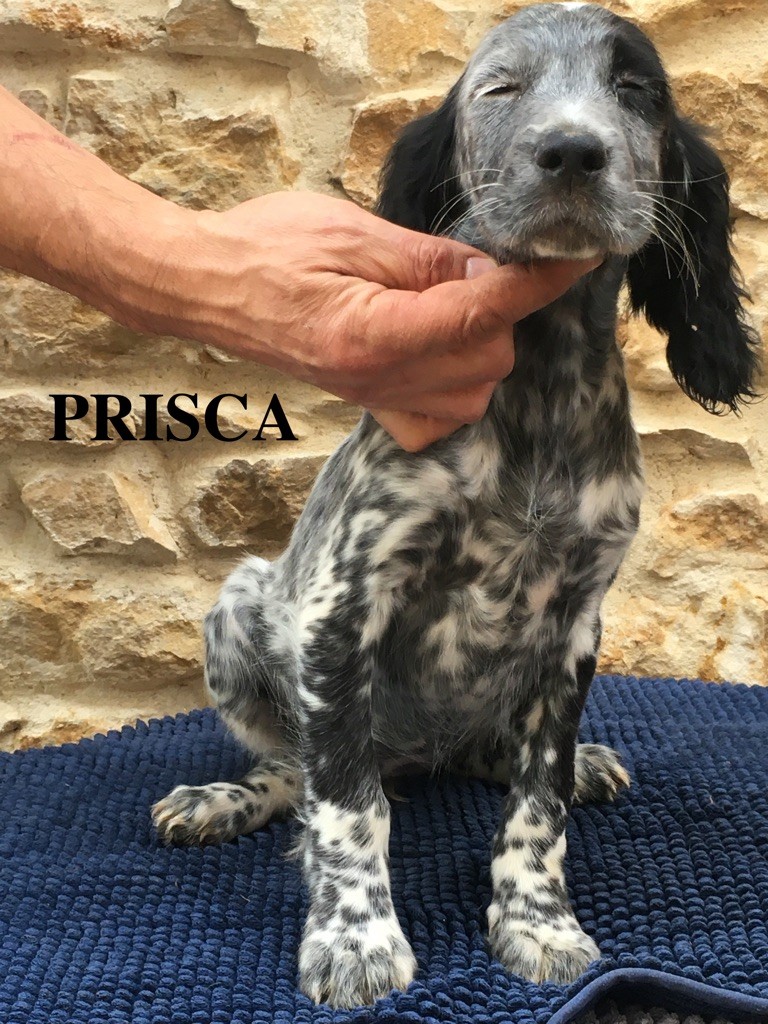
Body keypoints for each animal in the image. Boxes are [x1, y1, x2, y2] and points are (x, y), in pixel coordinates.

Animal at [152, 1, 759, 1008]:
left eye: (638, 90)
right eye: (501, 88)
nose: (572, 152)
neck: (542, 384)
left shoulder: (574, 623)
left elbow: (537, 805)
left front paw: (539, 920)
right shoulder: (342, 605)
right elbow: (345, 805)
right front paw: (355, 938)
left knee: (494, 757)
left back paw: (577, 764)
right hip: (241, 610)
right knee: (294, 768)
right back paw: (225, 801)